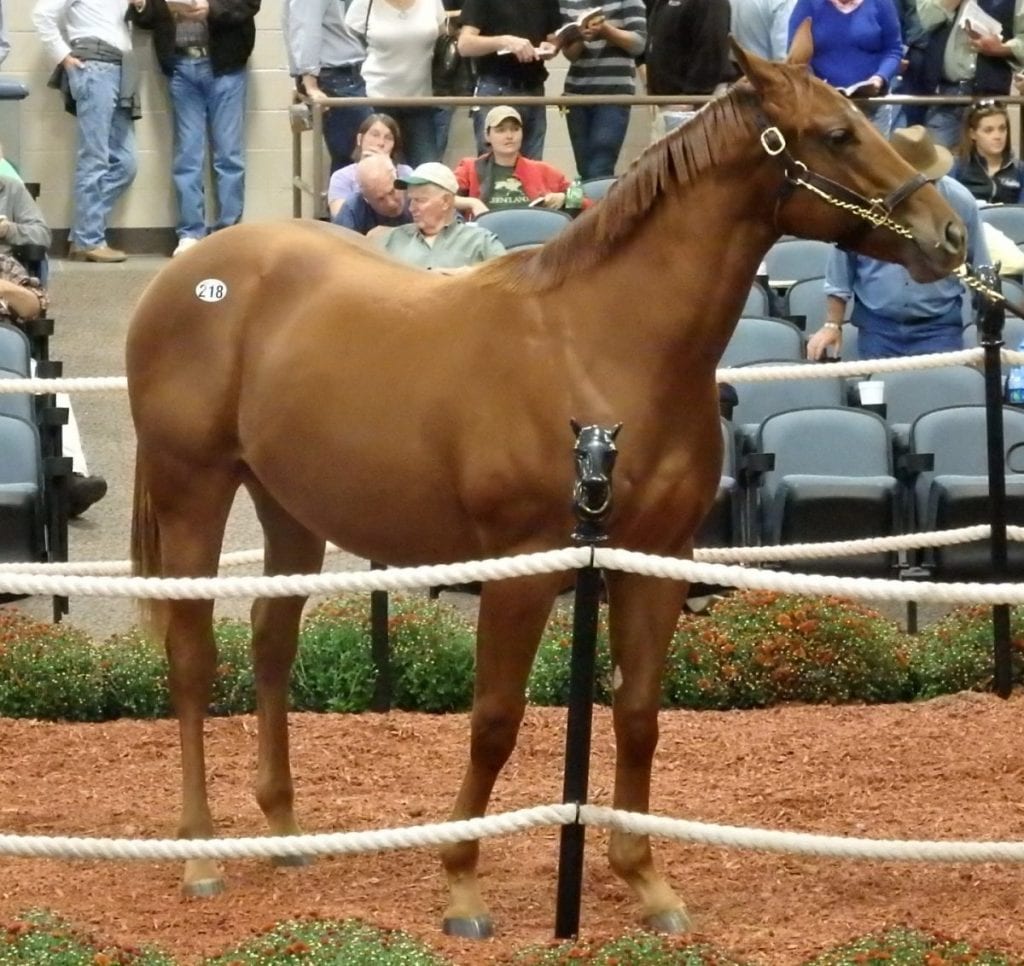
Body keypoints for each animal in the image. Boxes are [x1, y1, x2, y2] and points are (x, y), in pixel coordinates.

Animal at [123, 37, 962, 938]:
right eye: (838, 134)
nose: (948, 234)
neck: (602, 344)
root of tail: (189, 274)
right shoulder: (522, 570)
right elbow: (494, 721)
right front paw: (461, 886)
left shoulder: (651, 561)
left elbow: (637, 716)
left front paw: (646, 881)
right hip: (193, 489)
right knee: (192, 656)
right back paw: (201, 855)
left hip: (289, 507)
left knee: (271, 642)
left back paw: (284, 833)